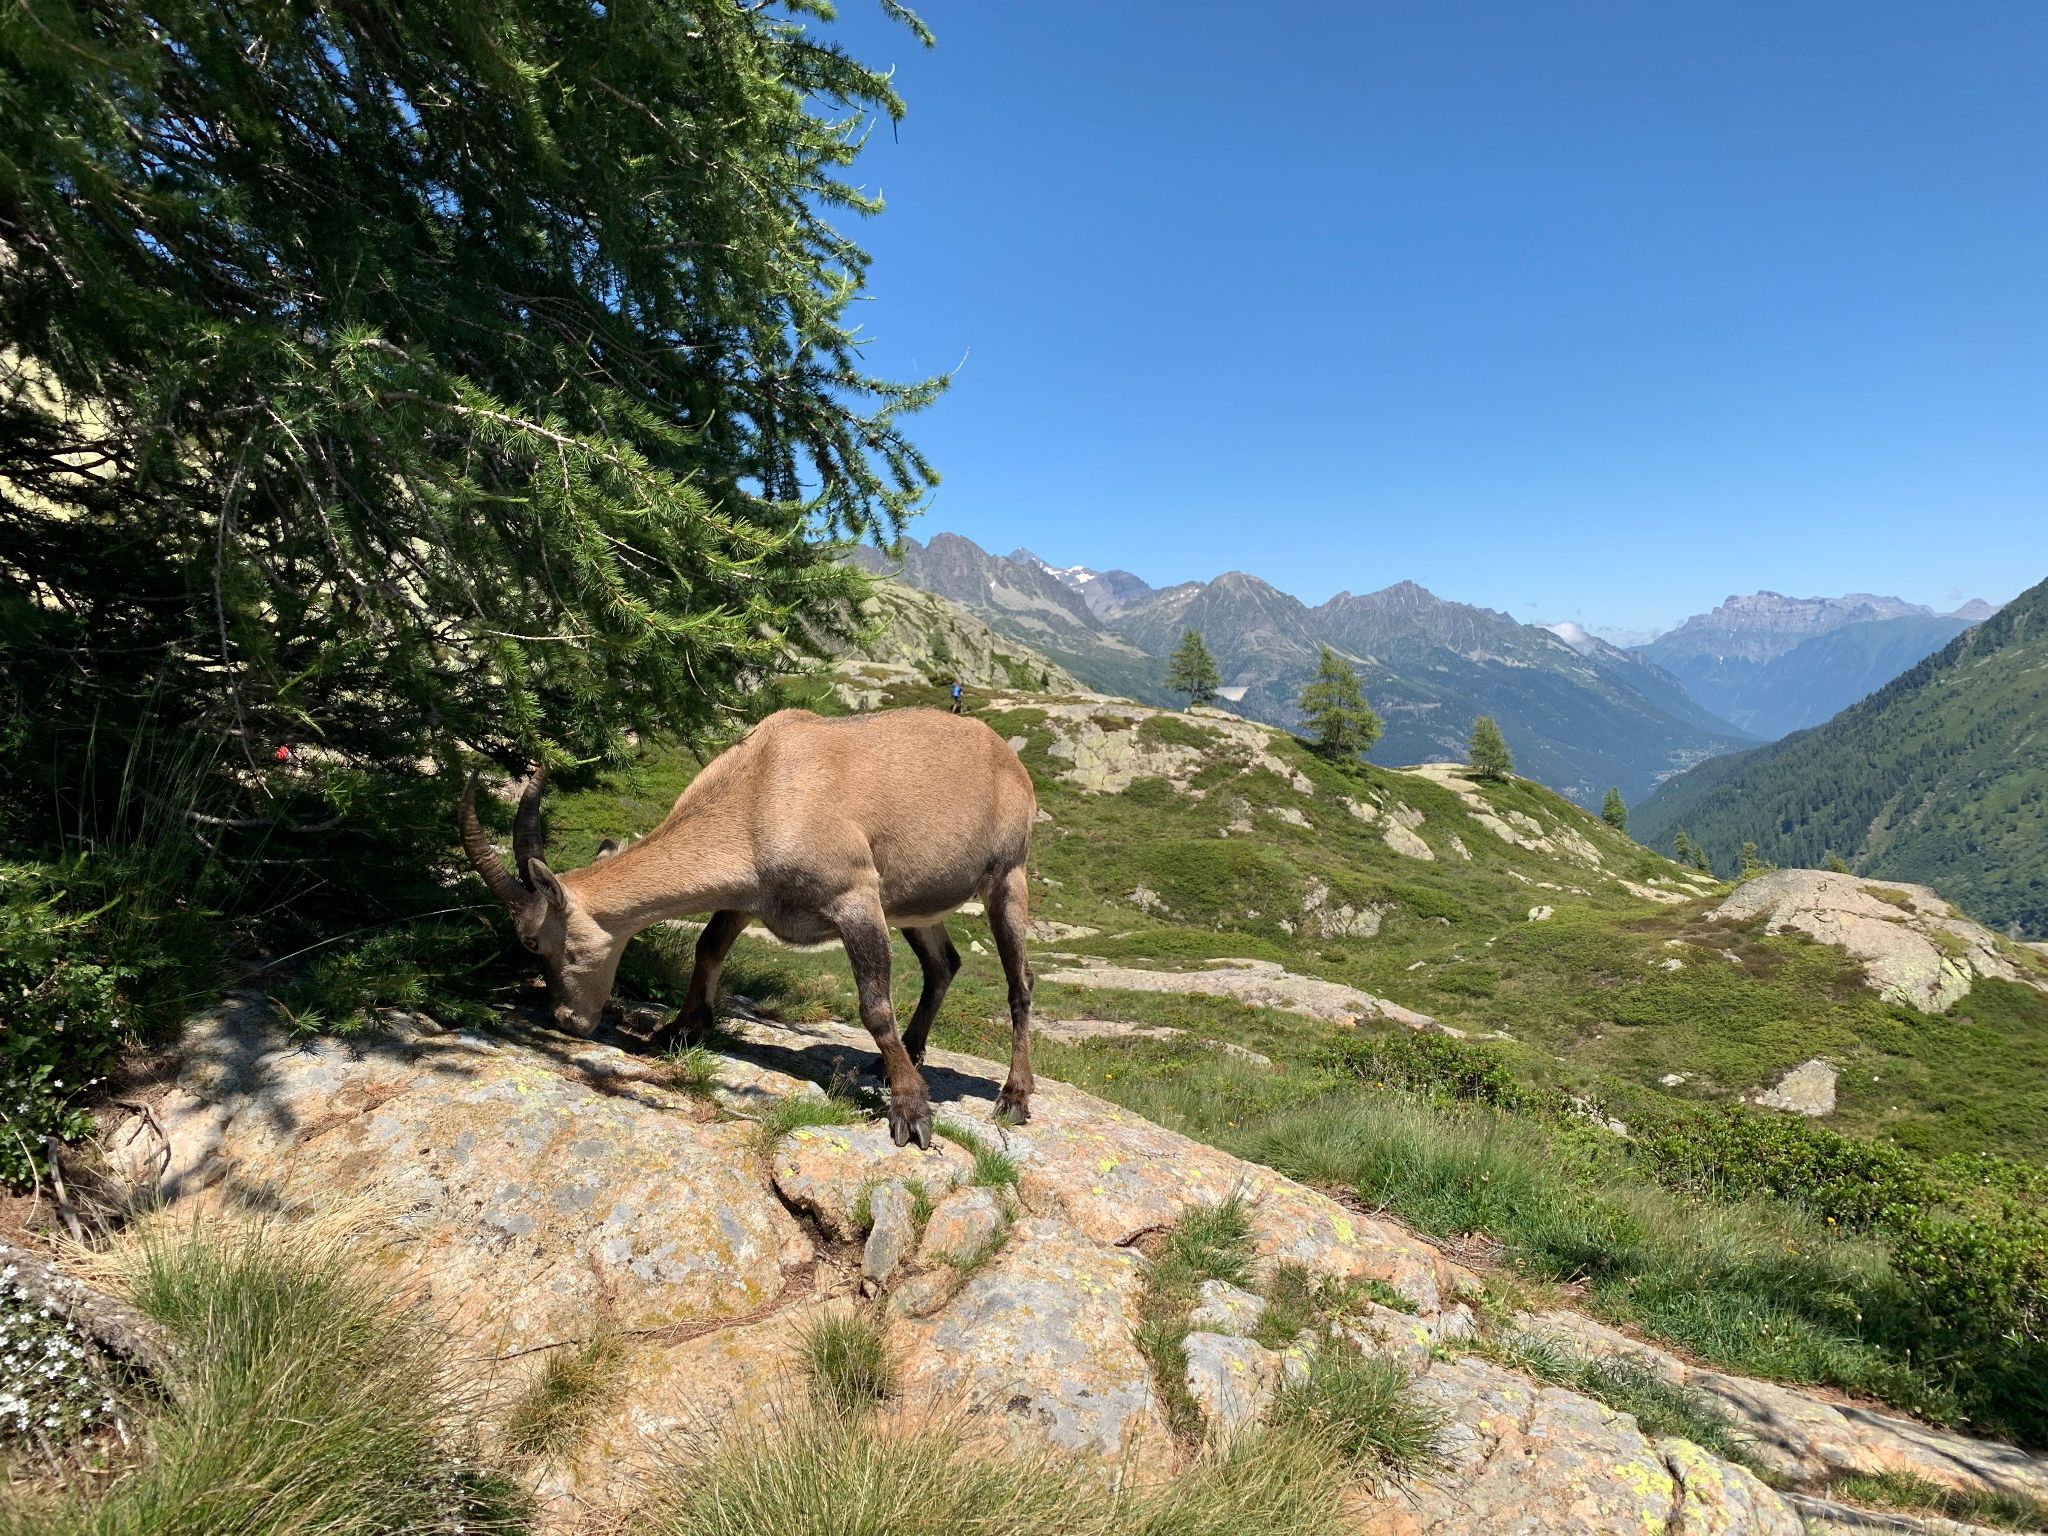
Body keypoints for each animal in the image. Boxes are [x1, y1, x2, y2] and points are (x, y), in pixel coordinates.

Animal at [457, 708, 1039, 1148]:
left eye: (533, 941)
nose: (564, 1019)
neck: (759, 790)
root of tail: (1009, 758)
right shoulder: (748, 896)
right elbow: (708, 946)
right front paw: (680, 1029)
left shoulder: (855, 897)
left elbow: (874, 1006)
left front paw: (911, 1111)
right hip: (915, 906)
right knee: (944, 963)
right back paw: (909, 1054)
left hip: (1006, 876)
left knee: (1020, 983)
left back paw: (1012, 1096)